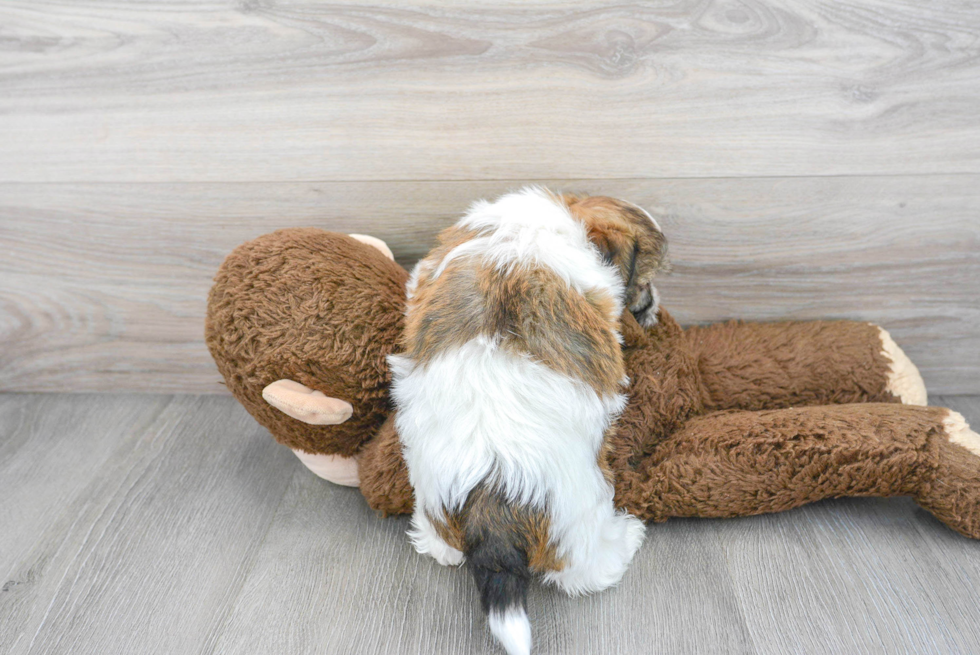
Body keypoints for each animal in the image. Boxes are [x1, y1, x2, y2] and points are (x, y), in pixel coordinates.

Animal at [386, 186, 668, 655]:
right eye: (644, 280)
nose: (655, 309)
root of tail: (492, 504)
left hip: (433, 501)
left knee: (440, 545)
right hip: (580, 518)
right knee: (585, 570)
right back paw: (625, 538)